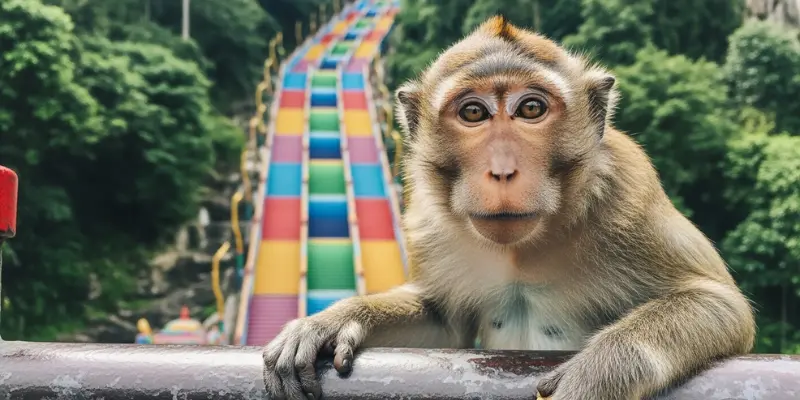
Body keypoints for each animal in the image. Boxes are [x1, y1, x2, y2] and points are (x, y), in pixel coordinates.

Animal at [261, 16, 756, 400]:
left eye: (531, 108)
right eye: (474, 113)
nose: (502, 171)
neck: (523, 249)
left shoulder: (629, 194)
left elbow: (718, 302)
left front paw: (597, 376)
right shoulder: (427, 222)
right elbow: (444, 321)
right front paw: (335, 320)